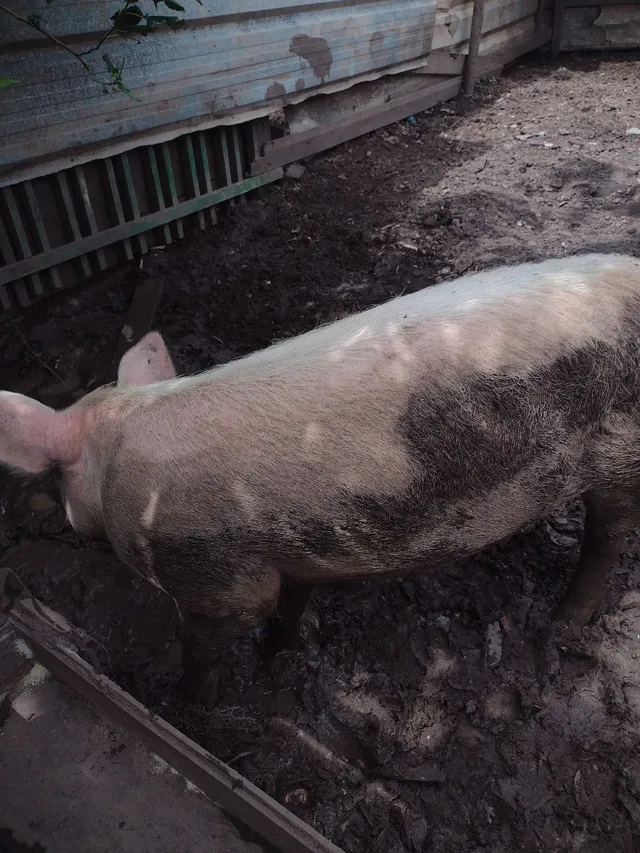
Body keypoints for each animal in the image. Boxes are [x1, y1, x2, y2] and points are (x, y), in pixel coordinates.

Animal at [2, 252, 640, 705]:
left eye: (58, 480)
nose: (64, 515)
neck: (114, 444)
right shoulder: (297, 546)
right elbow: (292, 603)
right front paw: (274, 658)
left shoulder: (211, 575)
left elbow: (211, 640)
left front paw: (189, 706)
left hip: (620, 455)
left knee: (608, 536)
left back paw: (565, 621)